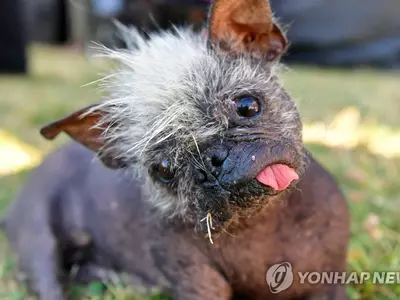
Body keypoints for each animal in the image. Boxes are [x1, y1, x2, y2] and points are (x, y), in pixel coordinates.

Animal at [1, 1, 348, 298]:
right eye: (164, 170)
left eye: (247, 106)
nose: (213, 161)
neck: (258, 225)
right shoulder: (198, 285)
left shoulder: (328, 286)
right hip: (37, 238)